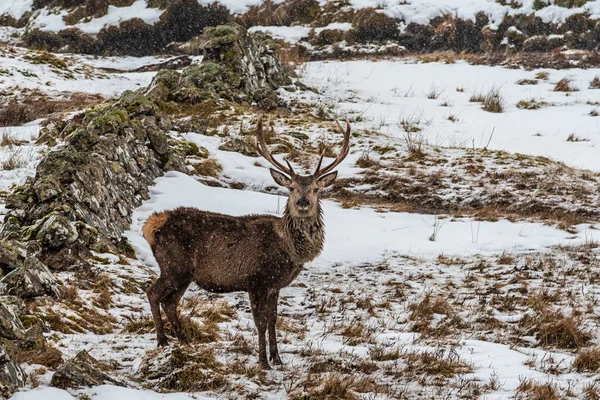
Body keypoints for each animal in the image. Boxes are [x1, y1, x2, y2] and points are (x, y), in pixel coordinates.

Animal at [142, 115, 350, 368]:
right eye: (291, 188)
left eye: (316, 189)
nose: (302, 203)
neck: (289, 251)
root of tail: (150, 225)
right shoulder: (256, 280)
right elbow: (260, 322)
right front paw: (262, 361)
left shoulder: (274, 285)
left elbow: (273, 319)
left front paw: (277, 358)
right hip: (174, 265)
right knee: (153, 293)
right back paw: (163, 340)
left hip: (184, 274)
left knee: (170, 302)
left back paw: (185, 342)